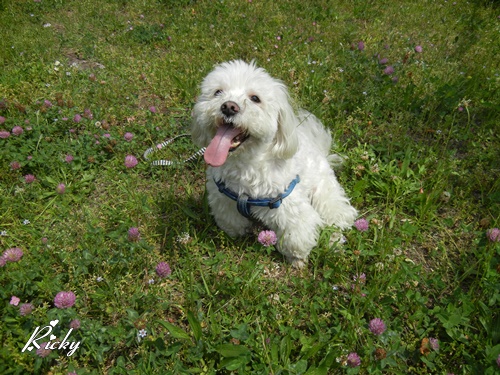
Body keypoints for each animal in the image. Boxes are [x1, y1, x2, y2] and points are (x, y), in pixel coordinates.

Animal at [189, 60, 358, 268]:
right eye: (218, 92)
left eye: (255, 98)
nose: (229, 107)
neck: (246, 165)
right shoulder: (224, 201)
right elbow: (232, 223)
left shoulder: (291, 208)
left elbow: (296, 237)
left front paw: (297, 259)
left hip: (325, 194)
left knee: (338, 217)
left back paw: (335, 240)